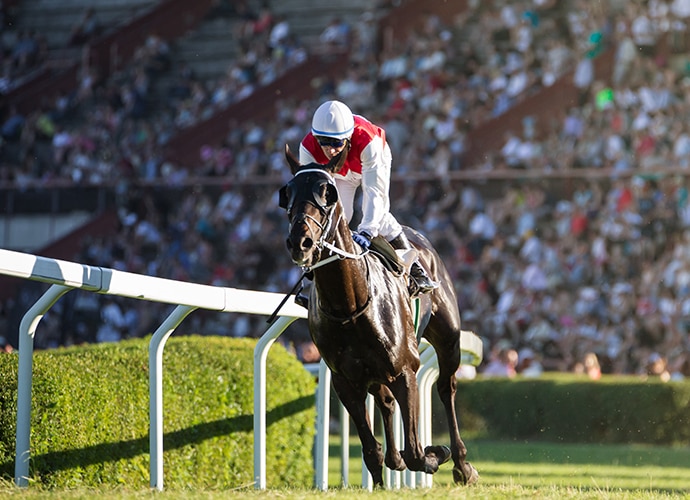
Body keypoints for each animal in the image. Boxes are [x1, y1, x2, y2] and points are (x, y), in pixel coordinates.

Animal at [276, 146, 476, 488]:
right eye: (286, 193)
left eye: (327, 194)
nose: (300, 242)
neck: (350, 306)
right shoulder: (345, 381)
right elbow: (372, 450)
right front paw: (384, 479)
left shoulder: (406, 370)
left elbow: (416, 452)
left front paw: (436, 452)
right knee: (385, 402)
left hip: (448, 339)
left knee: (445, 388)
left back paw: (462, 465)